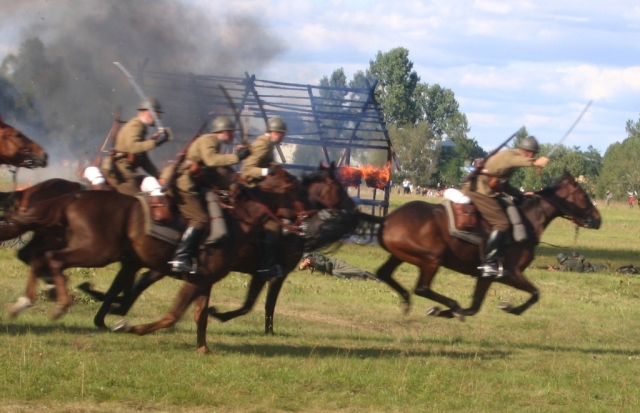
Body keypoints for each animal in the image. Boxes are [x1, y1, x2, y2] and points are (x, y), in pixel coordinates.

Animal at [356, 172, 600, 320]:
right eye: (583, 195)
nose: (598, 220)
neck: (527, 219)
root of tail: (388, 219)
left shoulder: (485, 277)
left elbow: (475, 307)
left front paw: (448, 313)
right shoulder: (509, 273)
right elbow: (535, 293)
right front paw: (511, 308)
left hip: (401, 255)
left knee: (384, 274)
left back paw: (409, 302)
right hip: (431, 260)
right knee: (422, 288)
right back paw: (449, 304)